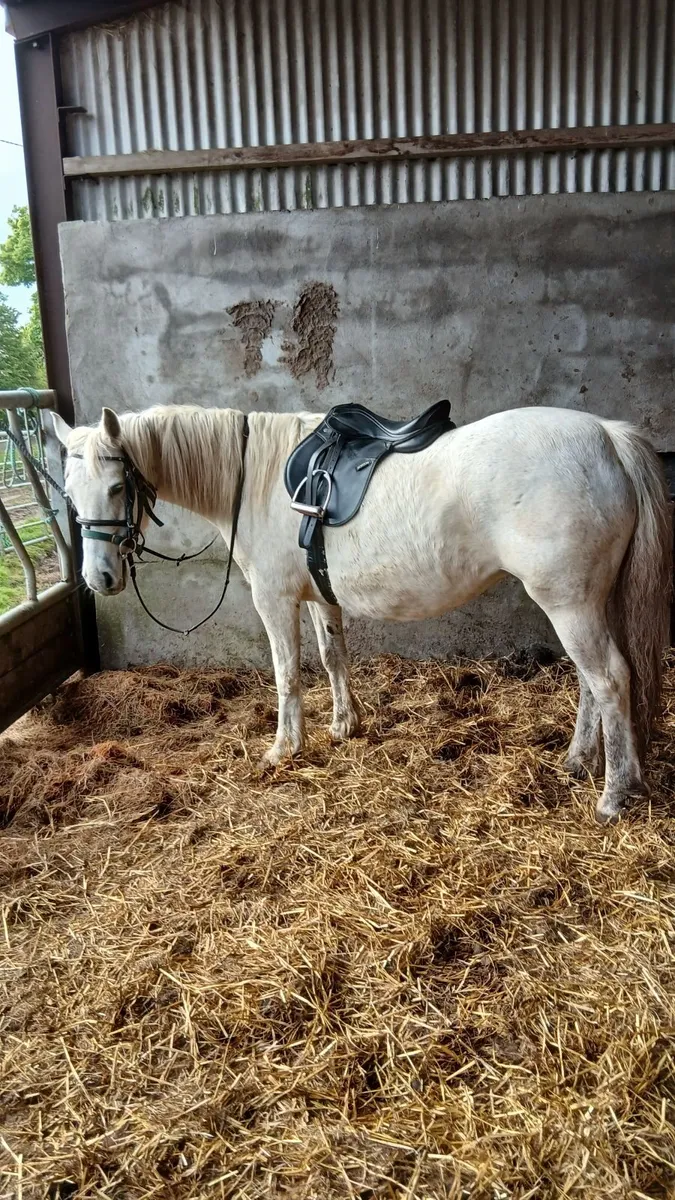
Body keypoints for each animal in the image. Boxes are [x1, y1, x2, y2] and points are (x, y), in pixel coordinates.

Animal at [51, 402, 671, 825]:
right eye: (68, 491)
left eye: (116, 486)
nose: (100, 579)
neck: (255, 479)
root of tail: (608, 438)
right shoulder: (320, 596)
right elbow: (333, 657)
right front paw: (343, 725)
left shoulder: (274, 599)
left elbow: (287, 674)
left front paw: (284, 749)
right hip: (585, 600)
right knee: (592, 683)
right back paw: (578, 762)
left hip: (568, 602)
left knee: (610, 679)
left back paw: (614, 795)